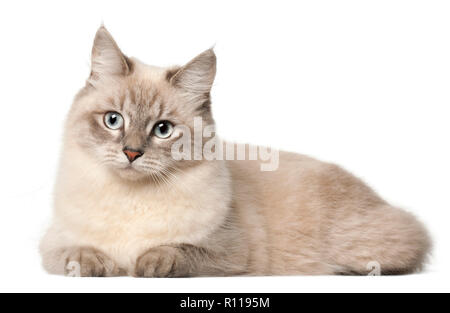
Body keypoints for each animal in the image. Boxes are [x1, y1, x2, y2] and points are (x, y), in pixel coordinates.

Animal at [40, 26, 430, 276]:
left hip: (361, 244)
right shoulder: (53, 244)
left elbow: (175, 252)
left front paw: (144, 265)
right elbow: (72, 254)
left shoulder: (228, 253)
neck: (130, 198)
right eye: (113, 120)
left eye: (163, 130)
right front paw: (98, 265)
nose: (131, 153)